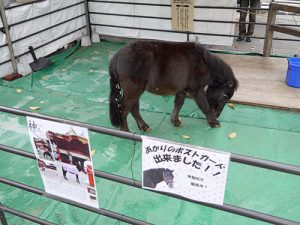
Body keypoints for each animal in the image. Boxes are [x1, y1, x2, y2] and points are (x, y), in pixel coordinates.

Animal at [109, 40, 238, 132]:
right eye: (225, 97)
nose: (217, 115)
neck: (204, 63)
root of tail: (118, 55)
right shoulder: (196, 90)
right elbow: (205, 106)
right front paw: (213, 122)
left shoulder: (182, 90)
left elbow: (178, 104)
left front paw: (175, 121)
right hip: (133, 90)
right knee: (125, 107)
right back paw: (125, 131)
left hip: (136, 90)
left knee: (133, 107)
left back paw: (143, 126)